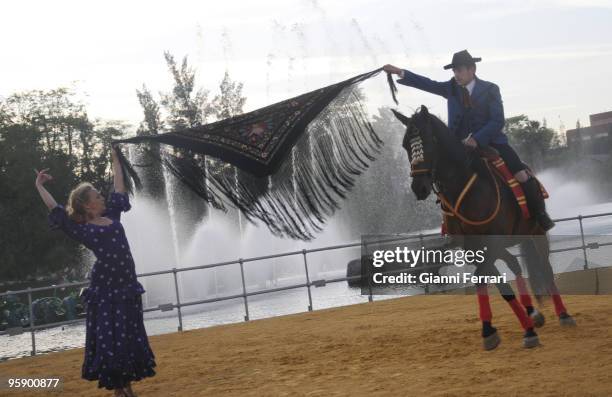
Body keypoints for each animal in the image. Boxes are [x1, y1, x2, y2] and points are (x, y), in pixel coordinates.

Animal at [394, 106, 576, 350]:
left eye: (430, 140)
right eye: (405, 144)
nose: (419, 187)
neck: (465, 187)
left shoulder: (492, 241)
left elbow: (482, 277)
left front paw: (509, 330)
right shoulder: (473, 247)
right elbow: (496, 283)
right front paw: (500, 328)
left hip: (537, 233)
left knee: (545, 269)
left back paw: (563, 314)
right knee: (514, 263)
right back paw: (531, 312)